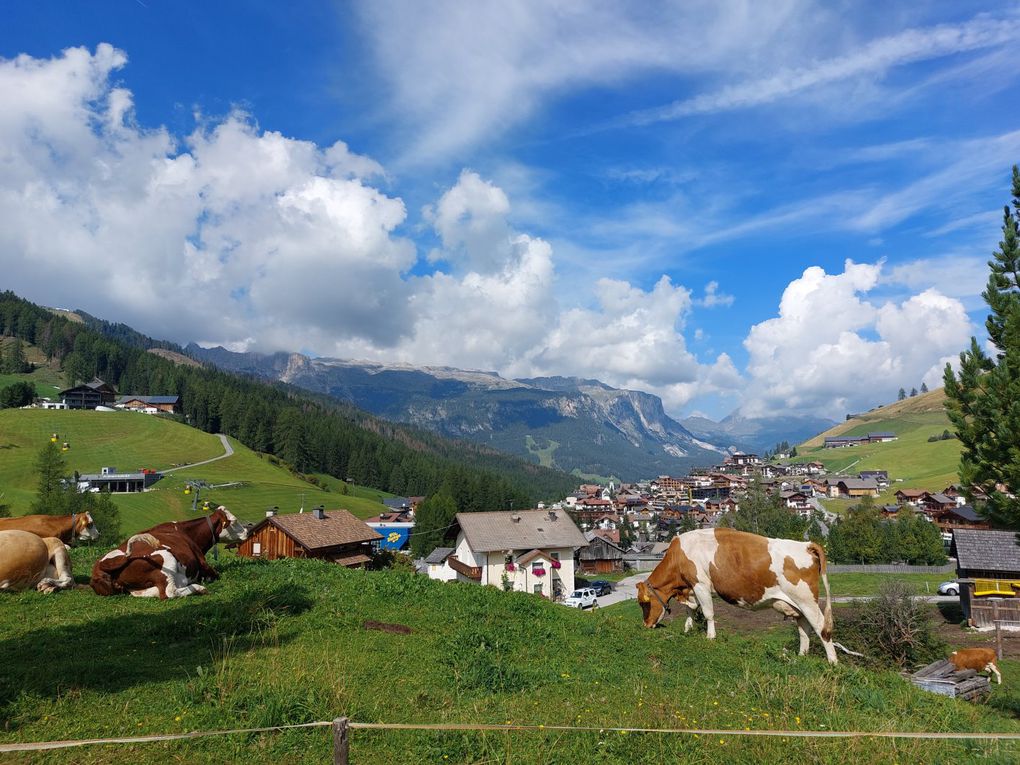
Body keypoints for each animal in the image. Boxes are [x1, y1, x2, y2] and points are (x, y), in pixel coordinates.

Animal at [91, 510, 250, 599]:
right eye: (234, 521)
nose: (247, 531)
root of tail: (102, 564)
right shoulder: (203, 563)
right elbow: (215, 574)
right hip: (167, 559)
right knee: (169, 593)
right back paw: (199, 588)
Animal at [636, 526, 836, 665]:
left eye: (643, 603)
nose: (645, 625)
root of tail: (806, 545)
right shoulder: (690, 589)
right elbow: (690, 611)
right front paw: (688, 630)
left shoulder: (701, 584)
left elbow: (708, 613)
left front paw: (710, 637)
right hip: (797, 605)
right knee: (804, 629)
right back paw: (802, 656)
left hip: (806, 600)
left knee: (821, 626)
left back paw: (832, 662)